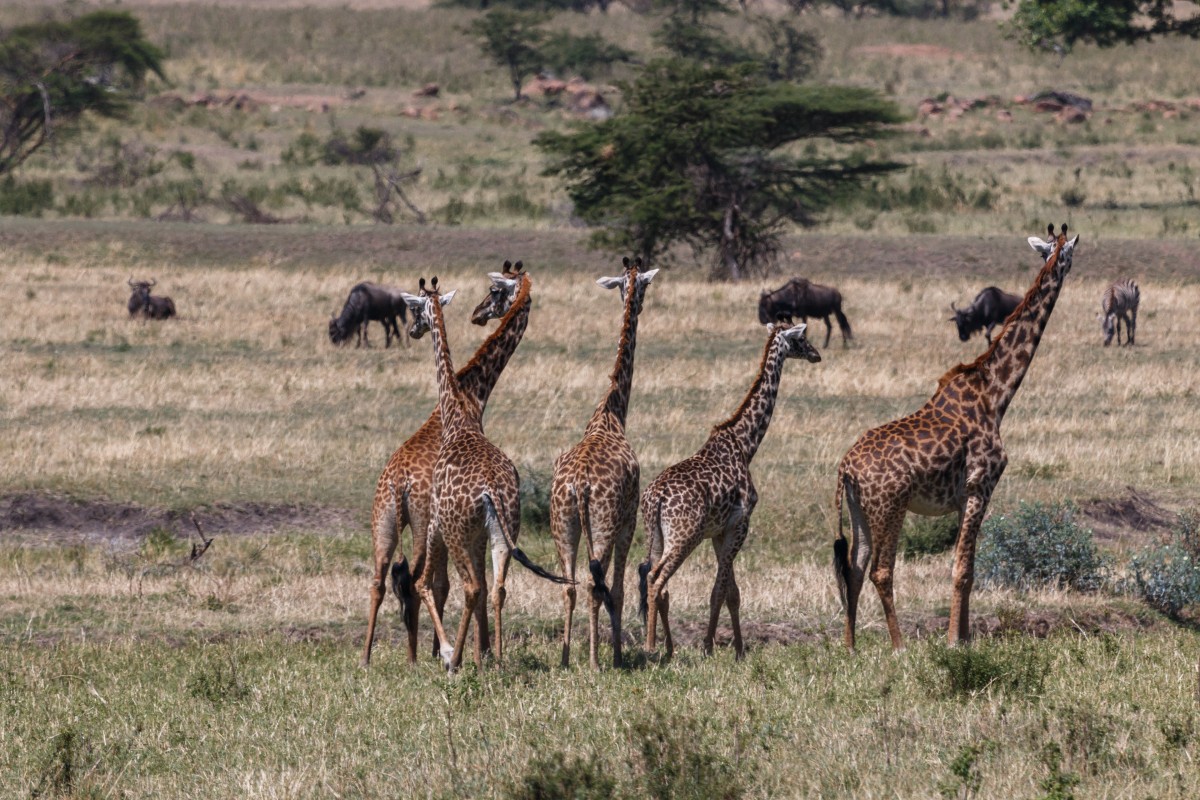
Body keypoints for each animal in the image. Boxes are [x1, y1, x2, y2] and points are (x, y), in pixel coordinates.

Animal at [357, 260, 532, 666]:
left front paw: (469, 652)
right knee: (422, 581)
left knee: (387, 581)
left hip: (389, 520)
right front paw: (475, 652)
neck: (469, 397)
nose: (478, 313)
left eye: (495, 292)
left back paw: (380, 657)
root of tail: (400, 481)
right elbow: (454, 585)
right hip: (421, 523)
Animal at [400, 278, 568, 671]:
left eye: (414, 308)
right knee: (497, 587)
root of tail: (491, 490)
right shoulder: (480, 532)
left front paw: (452, 653)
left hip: (455, 532)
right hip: (504, 530)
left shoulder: (437, 522)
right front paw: (484, 653)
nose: (413, 330)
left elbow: (426, 584)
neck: (458, 415)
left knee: (465, 586)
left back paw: (454, 660)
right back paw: (498, 658)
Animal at [549, 256, 662, 671]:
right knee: (594, 586)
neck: (611, 411)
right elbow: (618, 588)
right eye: (643, 285)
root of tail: (580, 486)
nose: (639, 304)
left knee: (569, 586)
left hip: (563, 524)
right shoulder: (627, 520)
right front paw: (616, 654)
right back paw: (598, 662)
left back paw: (566, 659)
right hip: (602, 524)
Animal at [638, 321, 825, 662]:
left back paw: (668, 648)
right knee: (657, 579)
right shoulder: (741, 523)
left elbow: (732, 592)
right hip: (685, 535)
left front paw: (737, 648)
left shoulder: (719, 531)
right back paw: (651, 647)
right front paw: (709, 647)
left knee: (655, 580)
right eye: (801, 338)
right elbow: (719, 590)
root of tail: (655, 499)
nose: (816, 354)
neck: (745, 443)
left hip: (655, 535)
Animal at [835, 224, 1080, 652]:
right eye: (1066, 254)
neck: (996, 395)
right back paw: (899, 645)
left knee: (854, 568)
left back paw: (849, 646)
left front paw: (966, 638)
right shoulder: (980, 484)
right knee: (881, 570)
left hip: (859, 510)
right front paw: (953, 640)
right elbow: (962, 568)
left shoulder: (968, 495)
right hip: (890, 506)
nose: (1068, 267)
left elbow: (972, 566)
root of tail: (846, 468)